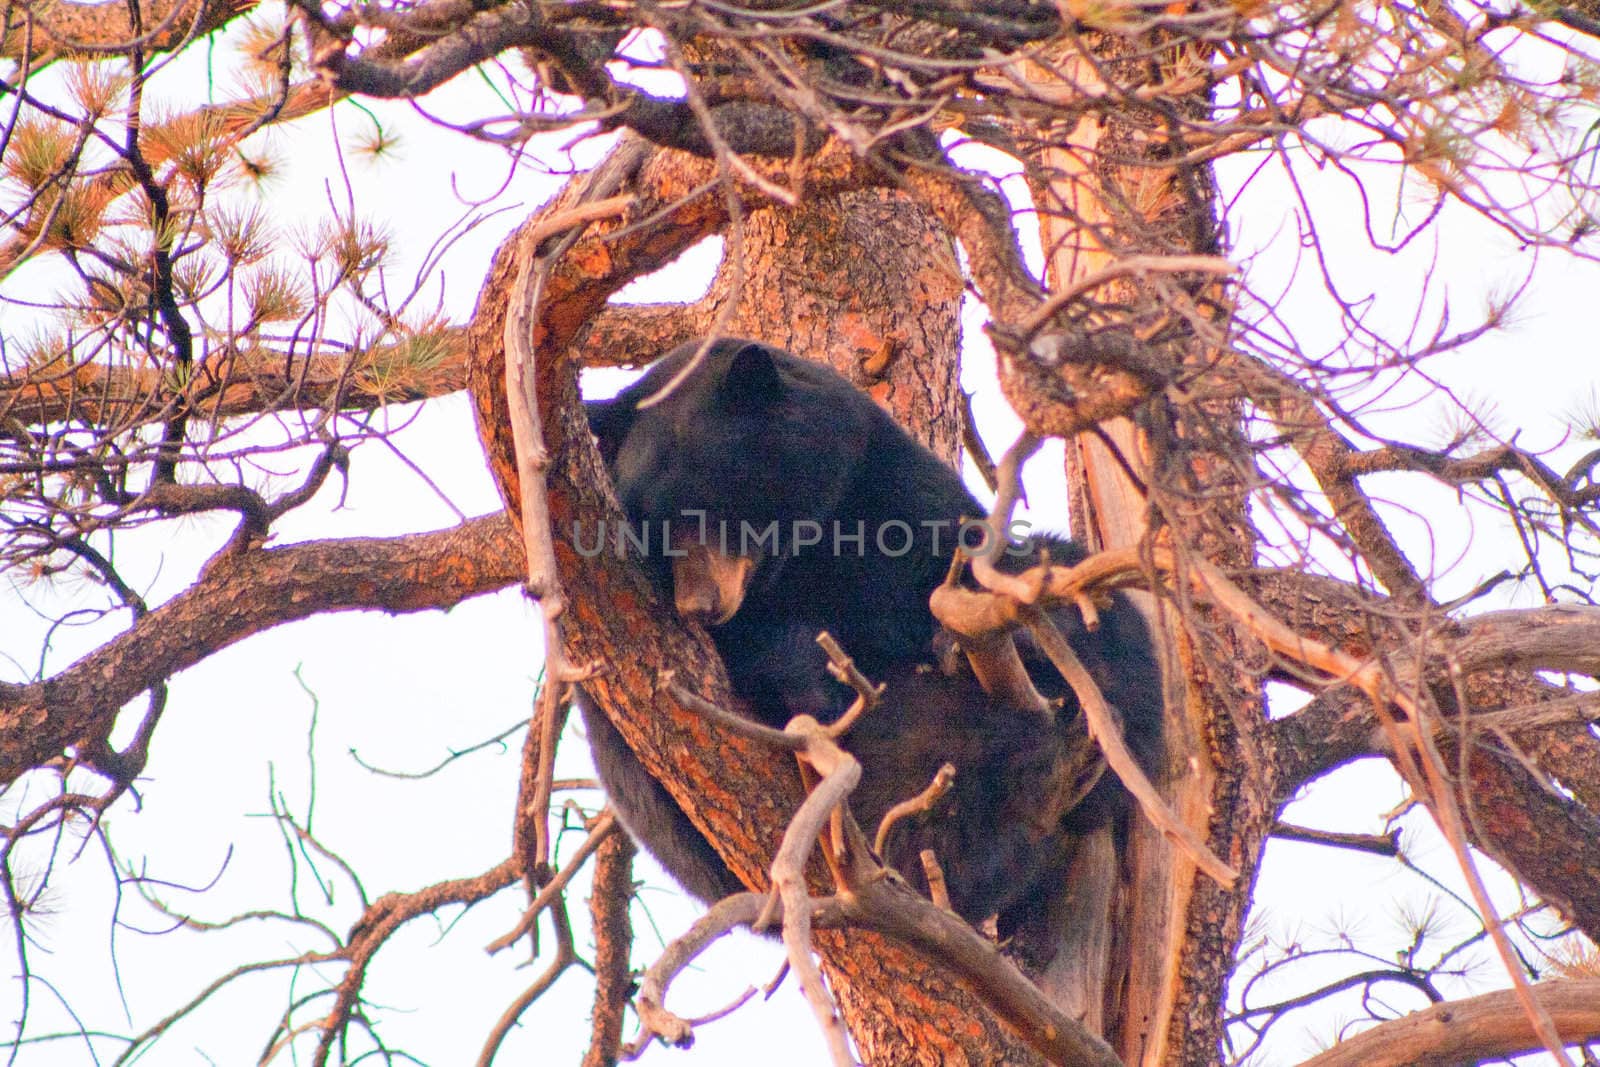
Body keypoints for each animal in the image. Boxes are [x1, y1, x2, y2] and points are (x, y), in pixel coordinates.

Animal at [582, 337, 1158, 940]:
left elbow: (958, 565)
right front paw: (809, 673)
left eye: (716, 504)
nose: (699, 606)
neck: (805, 549)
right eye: (652, 525)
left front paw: (993, 636)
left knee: (1112, 627)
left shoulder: (883, 482)